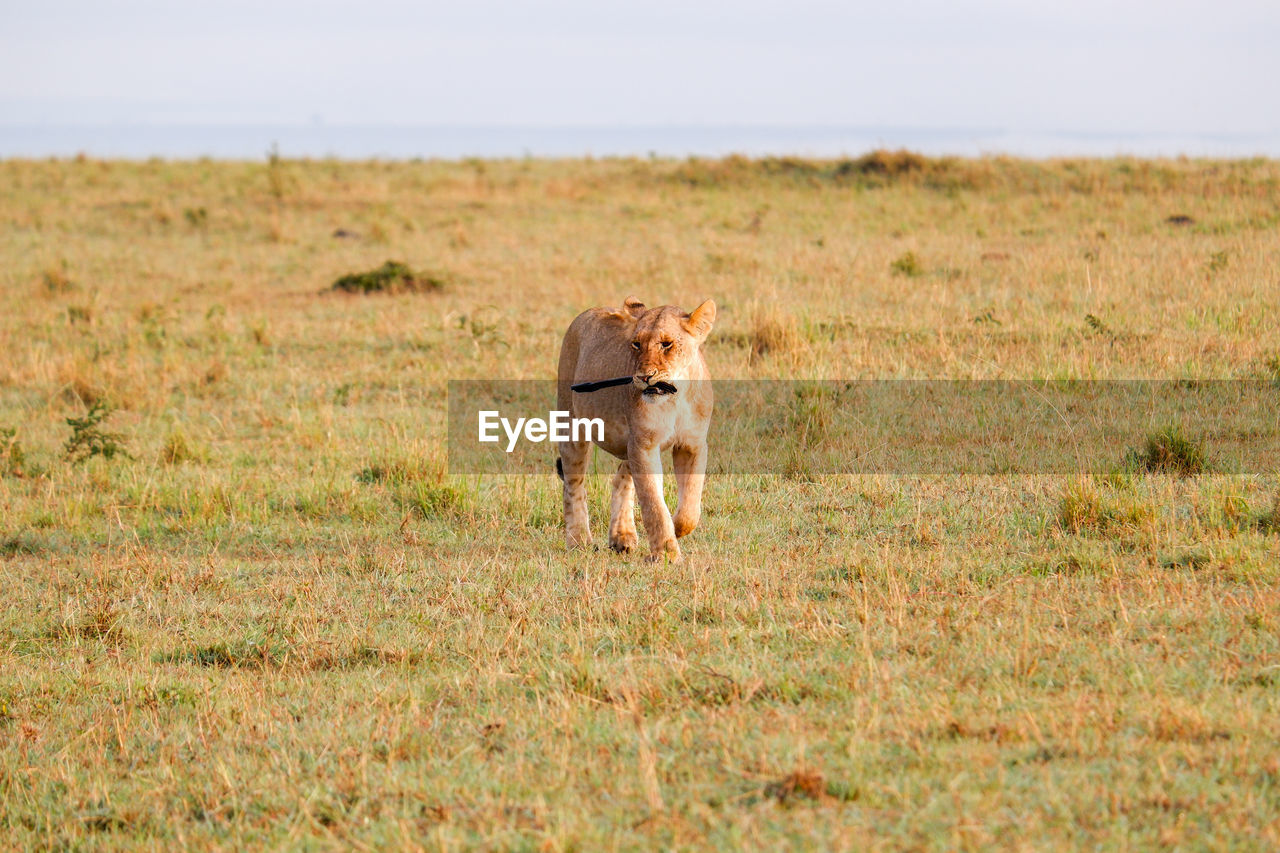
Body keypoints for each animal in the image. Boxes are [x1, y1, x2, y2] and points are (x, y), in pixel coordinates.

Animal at [555, 295, 716, 560]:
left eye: (667, 344)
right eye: (636, 344)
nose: (643, 377)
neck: (676, 397)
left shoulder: (692, 445)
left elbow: (690, 507)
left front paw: (676, 528)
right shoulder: (644, 444)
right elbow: (653, 504)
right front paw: (667, 554)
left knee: (621, 476)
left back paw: (623, 537)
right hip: (572, 425)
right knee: (573, 484)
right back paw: (578, 540)